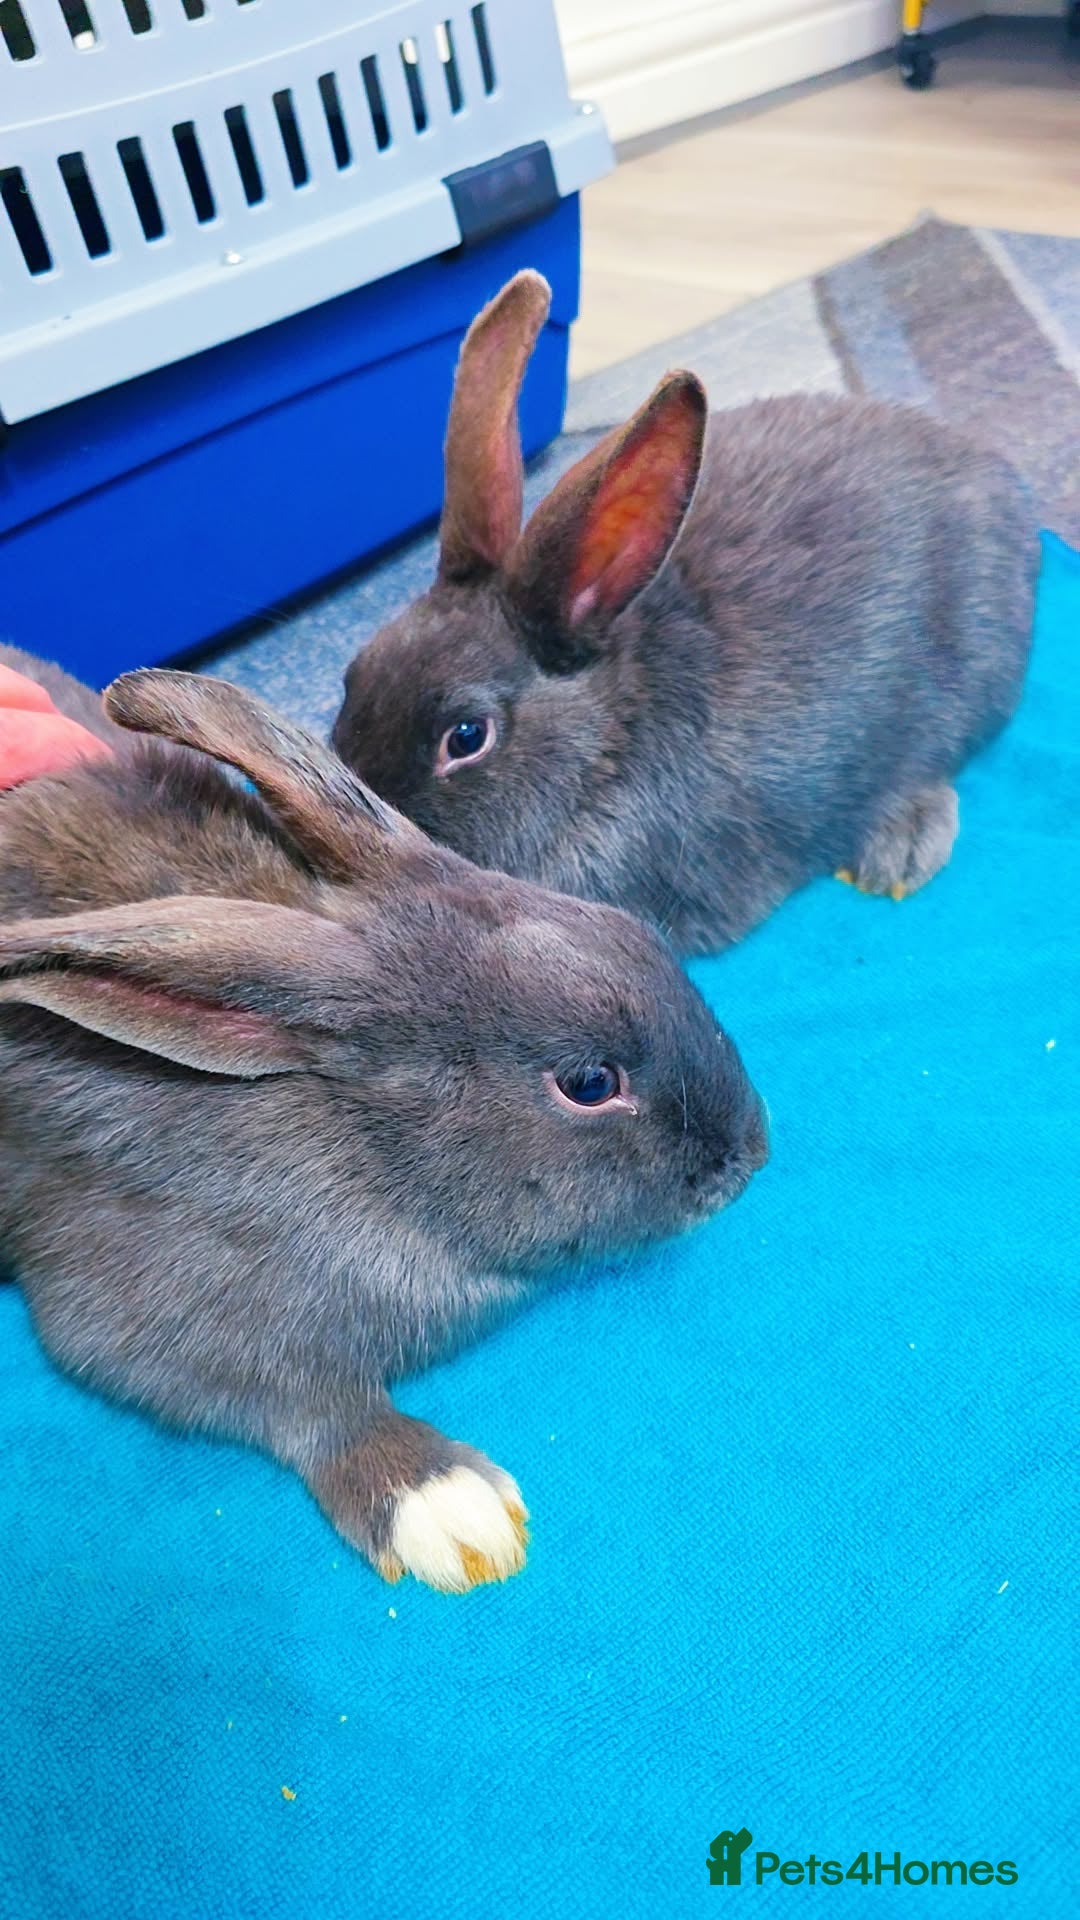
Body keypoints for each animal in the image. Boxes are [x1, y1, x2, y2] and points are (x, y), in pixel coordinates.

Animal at [0, 646, 768, 1592]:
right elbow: (305, 1408)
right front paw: (453, 1509)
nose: (750, 1153)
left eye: (639, 935)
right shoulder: (135, 1308)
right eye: (589, 1082)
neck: (365, 1142)